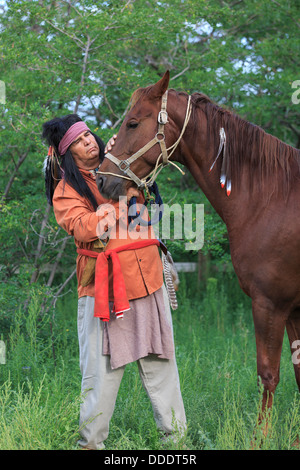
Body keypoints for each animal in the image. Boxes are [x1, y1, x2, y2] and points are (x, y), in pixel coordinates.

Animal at [96, 70, 300, 422]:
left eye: (133, 123)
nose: (102, 180)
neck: (272, 200)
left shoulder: (270, 304)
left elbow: (268, 375)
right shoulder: (294, 310)